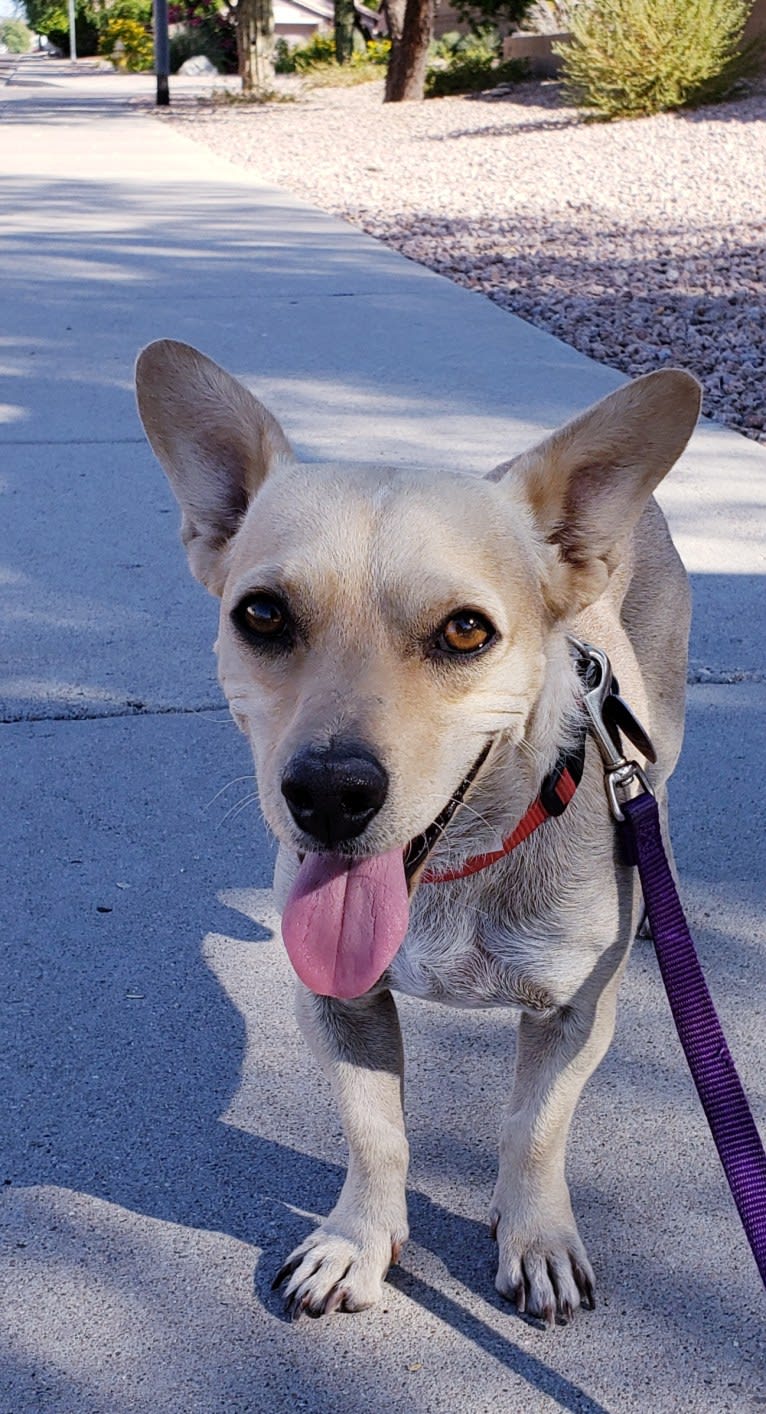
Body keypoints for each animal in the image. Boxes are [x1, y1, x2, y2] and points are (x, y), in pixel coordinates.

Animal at [136, 339, 703, 1323]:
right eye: (261, 615)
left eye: (467, 631)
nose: (329, 792)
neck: (458, 870)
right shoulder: (340, 1004)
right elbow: (377, 1135)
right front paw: (357, 1242)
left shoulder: (573, 1017)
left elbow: (533, 1132)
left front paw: (536, 1238)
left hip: (658, 736)